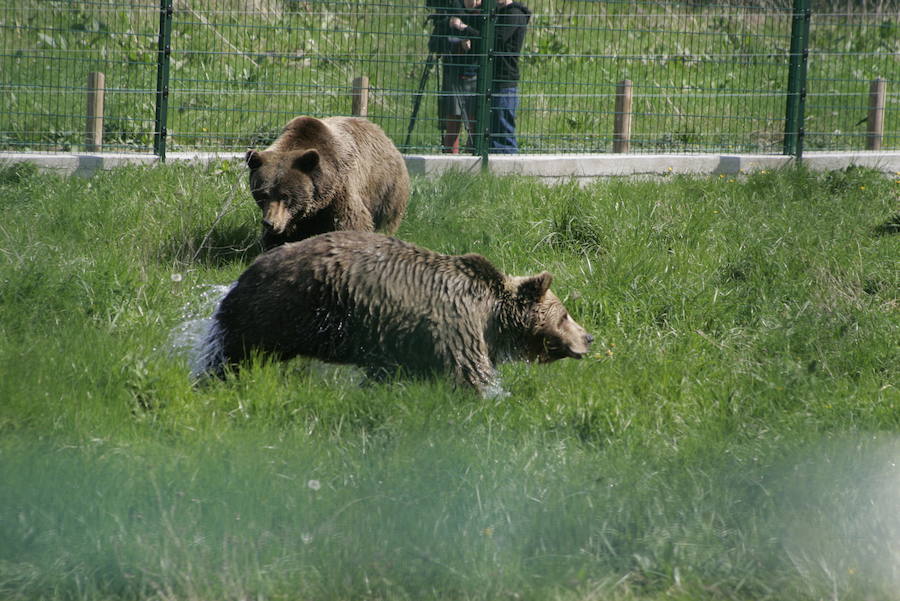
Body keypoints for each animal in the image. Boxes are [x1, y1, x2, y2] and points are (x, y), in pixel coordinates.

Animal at [193, 230, 596, 394]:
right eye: (564, 315)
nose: (589, 337)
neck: (490, 317)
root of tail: (246, 271)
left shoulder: (399, 341)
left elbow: (386, 374)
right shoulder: (455, 326)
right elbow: (469, 372)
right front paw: (492, 395)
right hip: (278, 308)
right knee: (233, 355)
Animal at [241, 116, 406, 250]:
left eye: (285, 196)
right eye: (263, 194)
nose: (270, 223)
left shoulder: (341, 190)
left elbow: (352, 221)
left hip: (386, 189)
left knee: (386, 220)